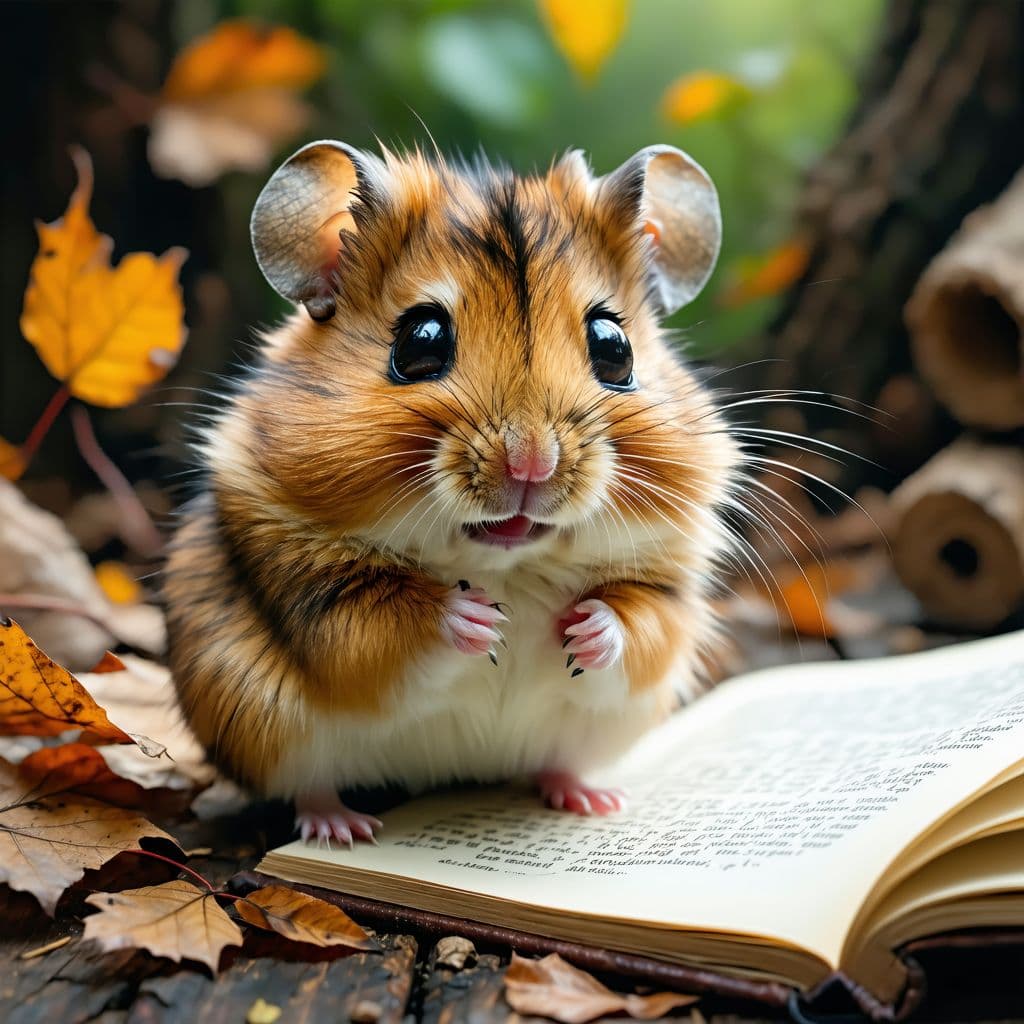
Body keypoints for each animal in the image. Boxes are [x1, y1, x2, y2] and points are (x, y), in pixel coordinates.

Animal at [164, 140, 740, 845]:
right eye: (421, 341)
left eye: (615, 348)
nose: (531, 464)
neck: (508, 563)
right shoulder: (323, 600)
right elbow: (391, 625)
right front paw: (483, 621)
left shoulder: (665, 595)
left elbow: (635, 625)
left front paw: (580, 627)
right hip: (266, 726)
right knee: (309, 785)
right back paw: (343, 827)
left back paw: (590, 797)